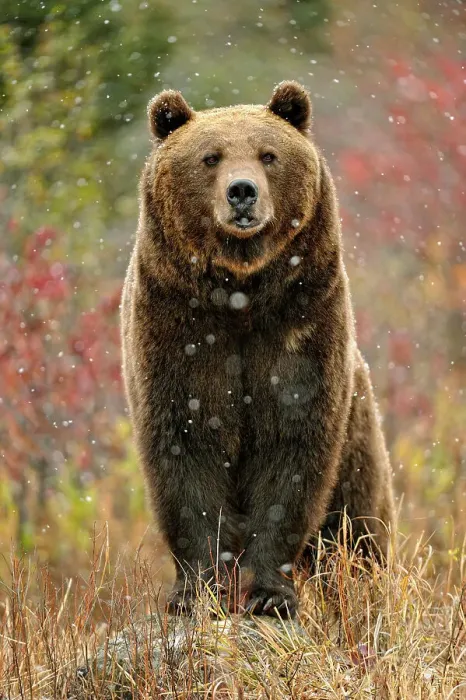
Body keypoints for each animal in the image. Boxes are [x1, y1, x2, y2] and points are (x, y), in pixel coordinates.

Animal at [121, 81, 395, 618]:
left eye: (268, 154)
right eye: (210, 157)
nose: (242, 191)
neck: (240, 293)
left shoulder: (301, 327)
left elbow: (292, 453)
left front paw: (269, 594)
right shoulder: (175, 335)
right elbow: (185, 456)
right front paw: (196, 592)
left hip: (361, 450)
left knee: (358, 533)